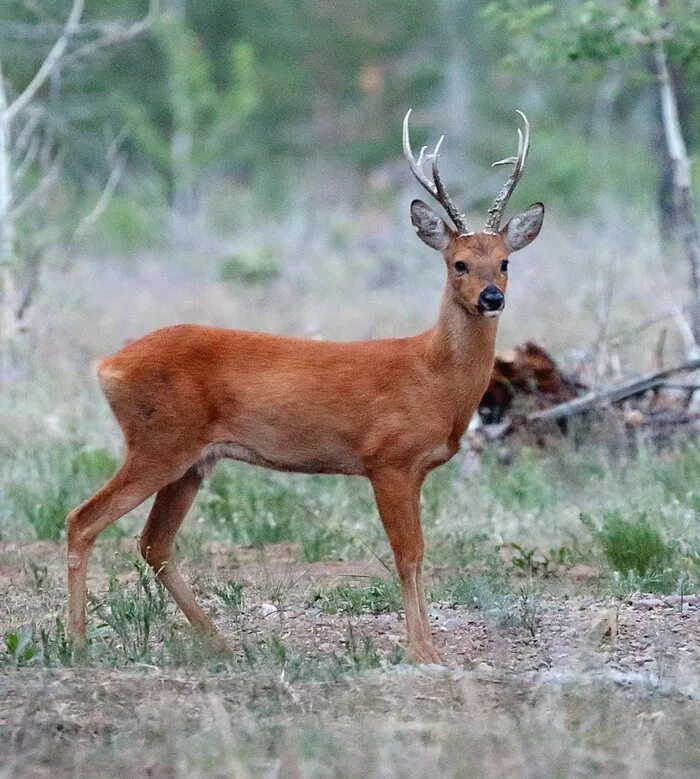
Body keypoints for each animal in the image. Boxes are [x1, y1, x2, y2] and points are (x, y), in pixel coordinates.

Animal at [65, 106, 544, 660]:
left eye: (505, 262)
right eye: (459, 263)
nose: (491, 297)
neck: (433, 377)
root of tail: (106, 365)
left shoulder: (412, 469)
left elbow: (418, 554)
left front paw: (426, 646)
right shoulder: (388, 460)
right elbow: (409, 555)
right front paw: (422, 651)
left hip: (191, 460)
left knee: (153, 543)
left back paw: (221, 643)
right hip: (157, 442)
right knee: (83, 520)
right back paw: (77, 641)